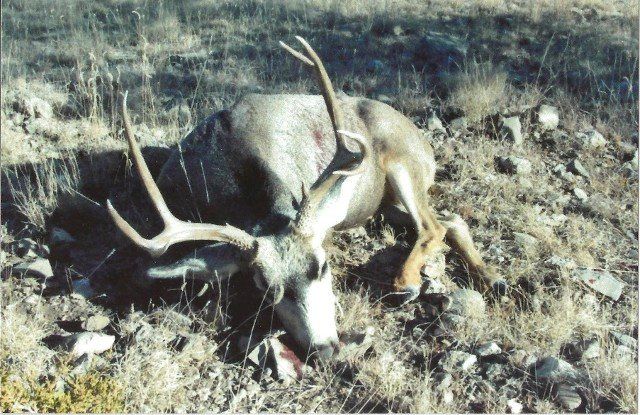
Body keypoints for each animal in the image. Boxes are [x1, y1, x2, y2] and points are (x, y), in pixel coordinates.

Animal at [107, 36, 507, 360]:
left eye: (323, 266)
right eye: (265, 288)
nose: (325, 350)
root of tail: (422, 139)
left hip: (403, 163)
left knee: (431, 225)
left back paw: (406, 284)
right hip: (382, 203)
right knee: (451, 219)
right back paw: (492, 279)